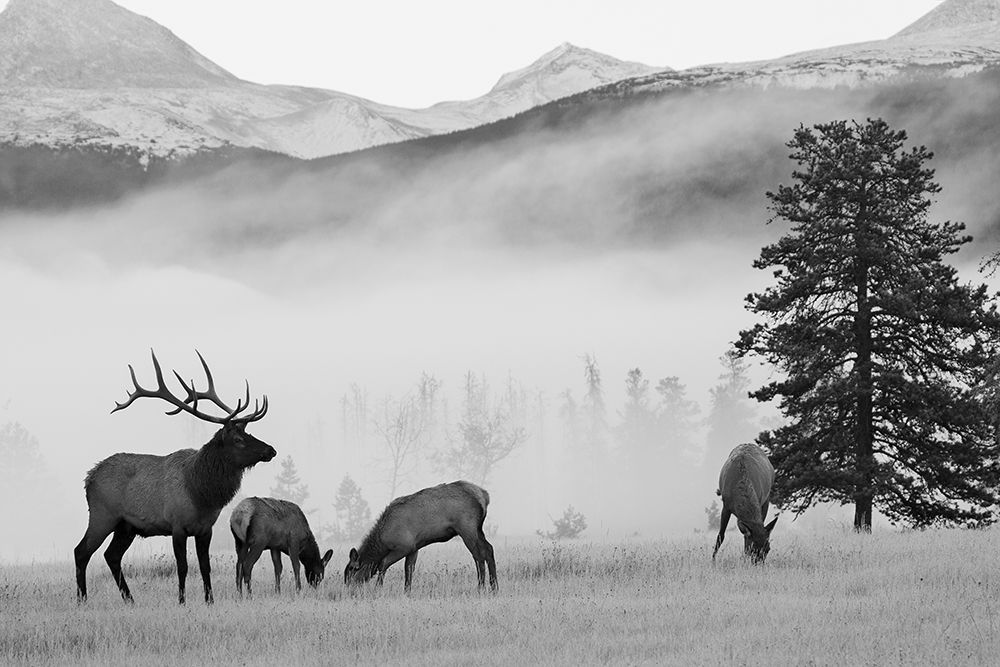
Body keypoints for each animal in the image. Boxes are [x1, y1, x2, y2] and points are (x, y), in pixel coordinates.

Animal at [74, 350, 277, 604]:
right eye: (238, 439)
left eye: (249, 433)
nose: (271, 450)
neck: (201, 493)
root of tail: (88, 478)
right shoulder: (177, 525)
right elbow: (183, 567)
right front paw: (181, 601)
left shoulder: (205, 529)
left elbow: (205, 566)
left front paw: (209, 601)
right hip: (102, 515)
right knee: (81, 551)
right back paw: (82, 599)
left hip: (126, 526)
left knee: (111, 556)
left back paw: (130, 600)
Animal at [344, 480, 498, 593]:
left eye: (352, 569)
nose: (346, 588)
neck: (383, 541)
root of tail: (485, 496)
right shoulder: (414, 548)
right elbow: (409, 570)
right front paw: (407, 592)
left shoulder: (404, 546)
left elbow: (383, 563)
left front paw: (378, 588)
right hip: (478, 529)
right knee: (488, 549)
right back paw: (494, 587)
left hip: (467, 527)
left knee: (478, 554)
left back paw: (481, 587)